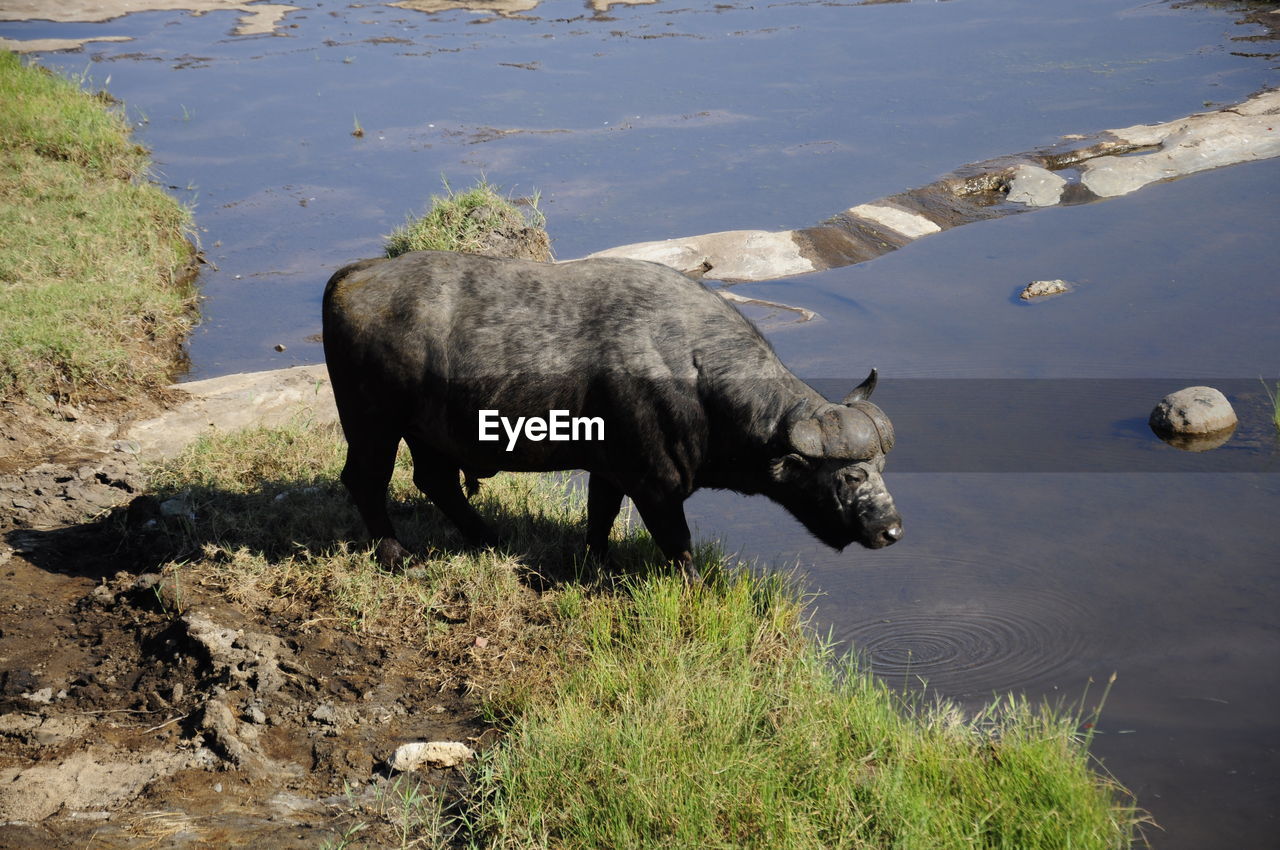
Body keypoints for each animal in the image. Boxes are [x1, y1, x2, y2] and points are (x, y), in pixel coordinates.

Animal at [320, 249, 901, 573]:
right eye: (849, 476)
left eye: (880, 468)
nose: (891, 530)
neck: (693, 370)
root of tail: (354, 275)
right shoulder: (656, 485)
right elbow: (678, 546)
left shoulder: (610, 470)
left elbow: (598, 521)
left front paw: (595, 568)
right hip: (373, 424)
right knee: (366, 480)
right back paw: (395, 556)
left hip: (427, 431)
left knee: (435, 480)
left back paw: (489, 537)